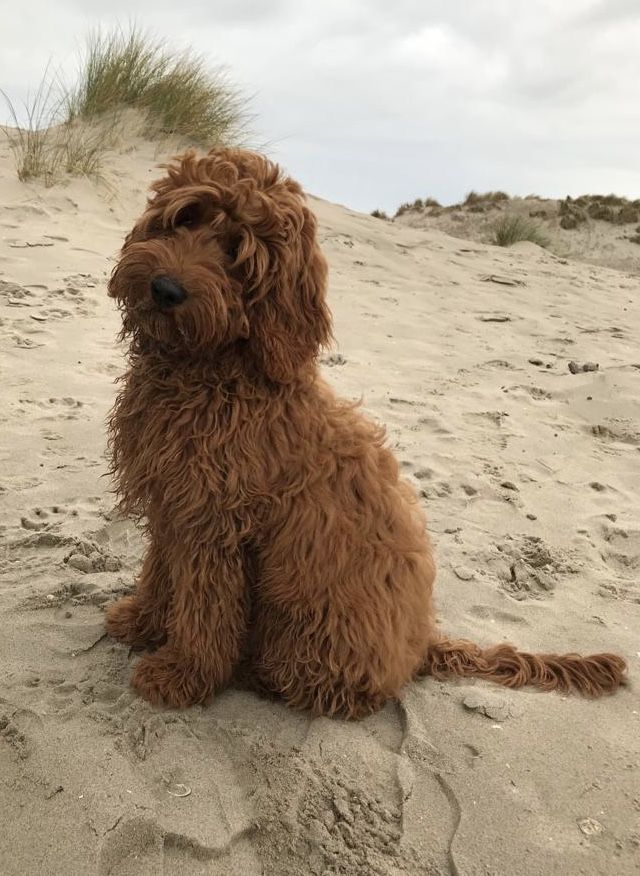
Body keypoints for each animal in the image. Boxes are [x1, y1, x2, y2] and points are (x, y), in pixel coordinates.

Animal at [107, 145, 628, 720]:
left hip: (305, 634)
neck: (216, 375)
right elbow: (162, 571)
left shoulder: (214, 524)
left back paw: (259, 675)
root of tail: (420, 648)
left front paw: (182, 674)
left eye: (237, 253)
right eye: (187, 217)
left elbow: (204, 608)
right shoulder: (172, 502)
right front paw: (142, 622)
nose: (165, 288)